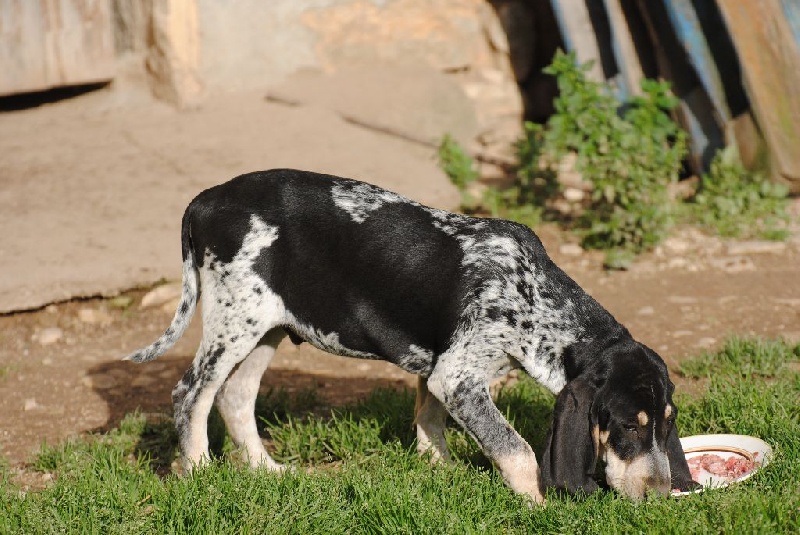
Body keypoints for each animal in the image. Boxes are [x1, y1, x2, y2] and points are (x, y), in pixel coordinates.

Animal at [125, 170, 692, 504]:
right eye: (629, 426)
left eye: (665, 424)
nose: (662, 495)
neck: (537, 297)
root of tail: (204, 201)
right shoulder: (457, 377)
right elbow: (516, 449)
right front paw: (534, 503)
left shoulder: (440, 368)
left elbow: (428, 419)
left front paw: (437, 467)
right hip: (233, 322)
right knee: (191, 394)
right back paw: (198, 471)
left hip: (268, 327)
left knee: (236, 398)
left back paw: (268, 471)